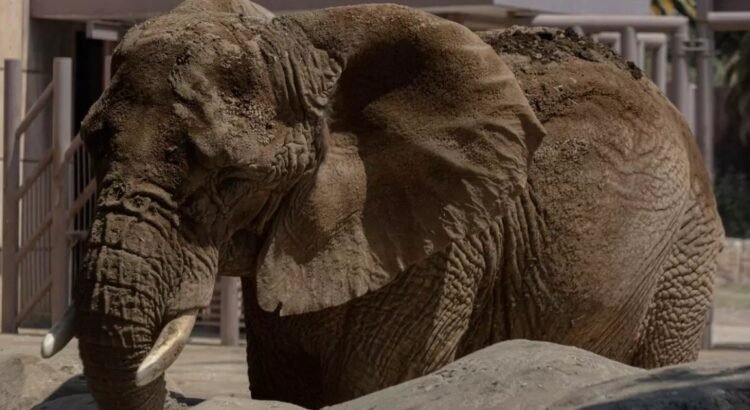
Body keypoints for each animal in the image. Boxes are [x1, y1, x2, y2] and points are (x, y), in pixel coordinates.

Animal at [39, 1, 724, 409]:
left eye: (231, 179)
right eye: (93, 143)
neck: (306, 46)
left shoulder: (439, 249)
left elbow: (378, 384)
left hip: (682, 257)